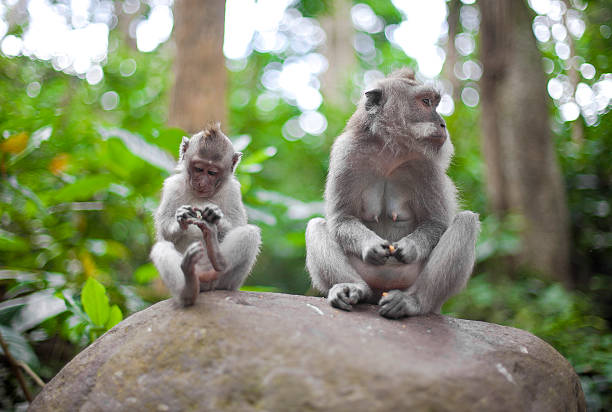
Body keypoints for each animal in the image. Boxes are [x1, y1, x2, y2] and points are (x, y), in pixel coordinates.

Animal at [152, 122, 262, 306]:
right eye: (198, 169)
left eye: (212, 172)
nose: (202, 183)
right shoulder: (172, 187)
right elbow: (164, 233)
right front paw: (181, 217)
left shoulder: (233, 191)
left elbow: (238, 225)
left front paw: (214, 215)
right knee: (161, 248)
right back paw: (188, 287)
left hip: (226, 282)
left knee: (249, 233)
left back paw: (217, 254)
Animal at [304, 68, 478, 318]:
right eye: (426, 102)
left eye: (434, 102)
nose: (443, 124)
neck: (390, 151)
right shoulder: (346, 153)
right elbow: (342, 218)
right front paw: (370, 246)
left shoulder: (427, 165)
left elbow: (436, 222)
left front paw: (410, 247)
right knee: (316, 225)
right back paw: (354, 288)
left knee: (466, 222)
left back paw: (411, 302)